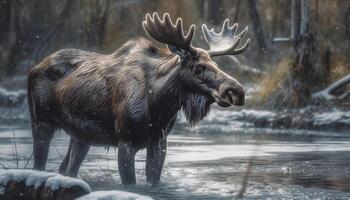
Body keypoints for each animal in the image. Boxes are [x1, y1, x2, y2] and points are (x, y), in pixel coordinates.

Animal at [28, 12, 250, 184]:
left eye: (216, 64)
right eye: (198, 67)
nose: (236, 91)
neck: (158, 106)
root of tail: (34, 68)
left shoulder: (159, 142)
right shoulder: (125, 141)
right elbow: (131, 184)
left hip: (81, 135)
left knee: (66, 169)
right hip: (41, 122)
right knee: (39, 166)